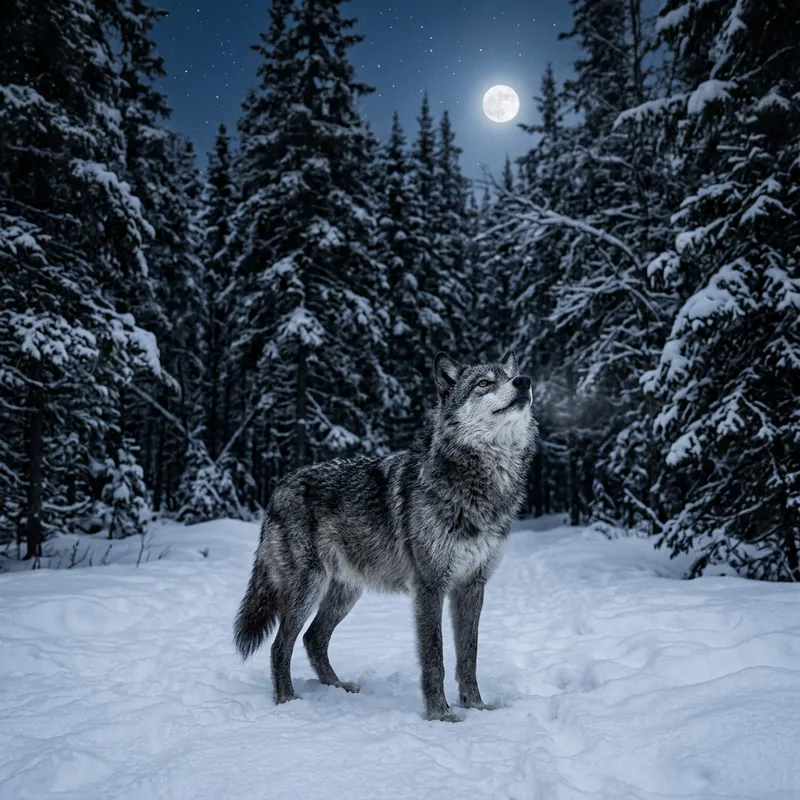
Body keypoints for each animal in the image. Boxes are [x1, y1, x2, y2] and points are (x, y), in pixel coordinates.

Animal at [233, 350, 537, 721]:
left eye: (510, 376)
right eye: (484, 383)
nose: (524, 382)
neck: (481, 482)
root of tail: (279, 487)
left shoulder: (472, 586)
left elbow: (469, 655)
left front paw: (476, 707)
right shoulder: (429, 586)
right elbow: (435, 657)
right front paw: (440, 715)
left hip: (346, 594)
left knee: (313, 639)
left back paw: (337, 688)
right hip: (309, 589)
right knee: (281, 645)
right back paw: (287, 702)